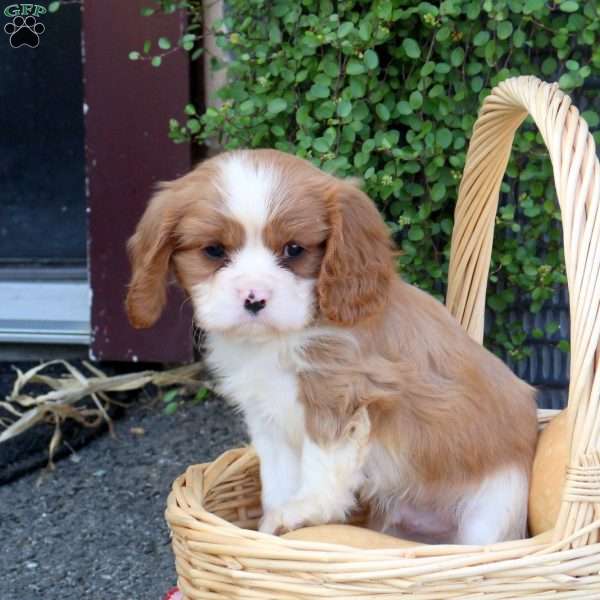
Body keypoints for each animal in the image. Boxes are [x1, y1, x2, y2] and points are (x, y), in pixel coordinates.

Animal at [126, 149, 540, 544]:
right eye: (213, 251)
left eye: (294, 250)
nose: (254, 298)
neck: (278, 340)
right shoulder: (267, 417)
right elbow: (277, 476)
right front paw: (271, 525)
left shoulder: (340, 392)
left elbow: (321, 460)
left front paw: (305, 510)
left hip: (493, 509)